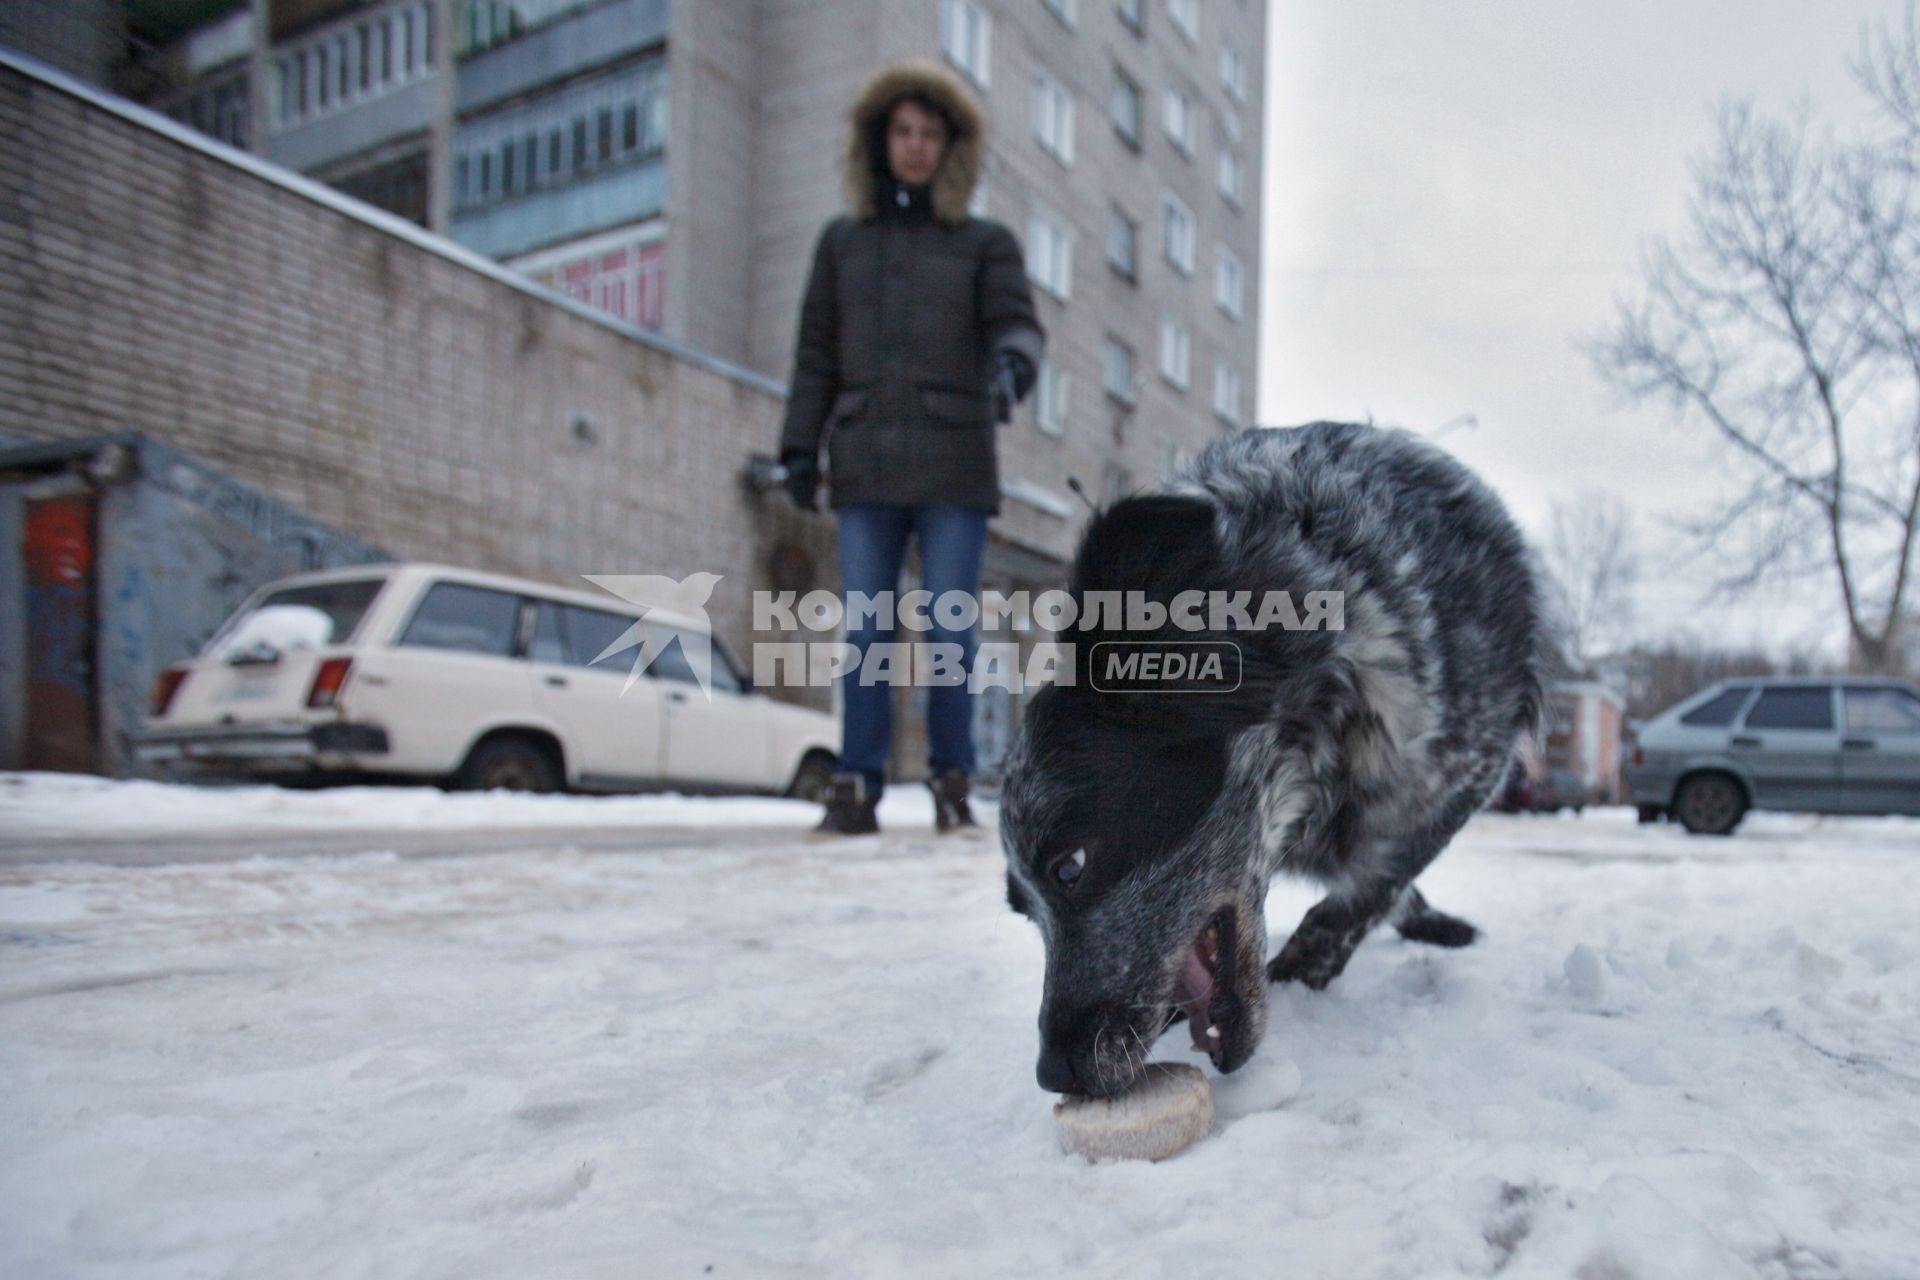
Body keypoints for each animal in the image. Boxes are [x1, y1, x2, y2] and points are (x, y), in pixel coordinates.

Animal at [998, 426, 1551, 1097]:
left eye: (1070, 866)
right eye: (1024, 911)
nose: (1055, 1073)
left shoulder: (1466, 770)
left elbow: (1366, 892)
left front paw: (1302, 975)